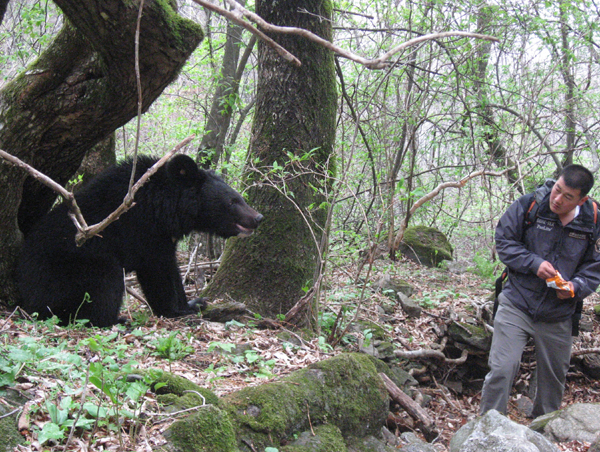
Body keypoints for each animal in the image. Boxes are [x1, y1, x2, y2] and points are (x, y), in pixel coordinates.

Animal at [14, 154, 260, 326]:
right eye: (233, 201)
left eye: (238, 197)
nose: (258, 217)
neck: (165, 208)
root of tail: (25, 300)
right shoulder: (142, 231)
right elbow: (157, 272)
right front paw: (173, 310)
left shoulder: (165, 237)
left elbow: (171, 268)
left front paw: (193, 303)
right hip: (75, 271)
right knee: (104, 285)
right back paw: (114, 320)